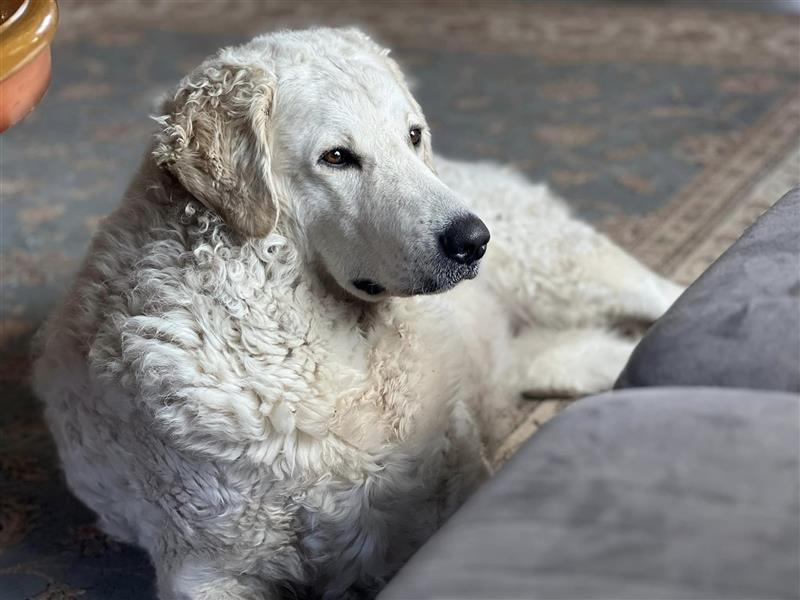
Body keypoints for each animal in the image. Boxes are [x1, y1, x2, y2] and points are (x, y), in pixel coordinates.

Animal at [31, 25, 680, 596]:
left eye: (413, 135)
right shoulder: (207, 570)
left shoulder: (451, 501)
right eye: (337, 157)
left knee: (664, 294)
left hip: (564, 269)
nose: (473, 240)